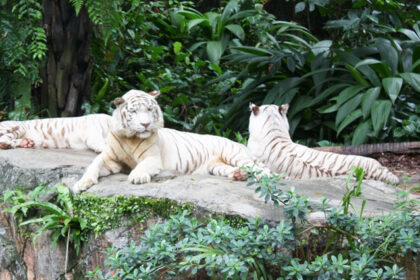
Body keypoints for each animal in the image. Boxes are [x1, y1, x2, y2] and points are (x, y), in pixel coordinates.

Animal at [72, 89, 262, 192]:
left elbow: (143, 165)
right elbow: (93, 165)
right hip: (215, 165)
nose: (145, 124)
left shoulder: (152, 158)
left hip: (235, 155)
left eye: (149, 109)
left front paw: (138, 176)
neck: (130, 138)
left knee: (263, 170)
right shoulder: (110, 158)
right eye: (134, 111)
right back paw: (239, 175)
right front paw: (81, 184)